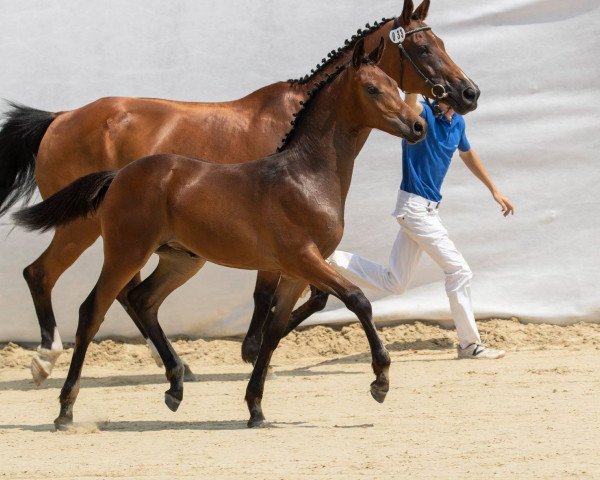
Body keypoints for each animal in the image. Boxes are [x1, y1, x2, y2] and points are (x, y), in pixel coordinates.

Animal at [15, 40, 426, 428]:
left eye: (394, 84)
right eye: (372, 88)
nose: (418, 126)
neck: (306, 175)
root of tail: (120, 175)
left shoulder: (295, 272)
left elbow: (274, 331)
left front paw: (255, 407)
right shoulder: (302, 258)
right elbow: (358, 300)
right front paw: (380, 381)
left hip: (181, 260)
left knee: (142, 300)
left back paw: (175, 386)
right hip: (125, 252)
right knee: (91, 309)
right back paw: (64, 408)